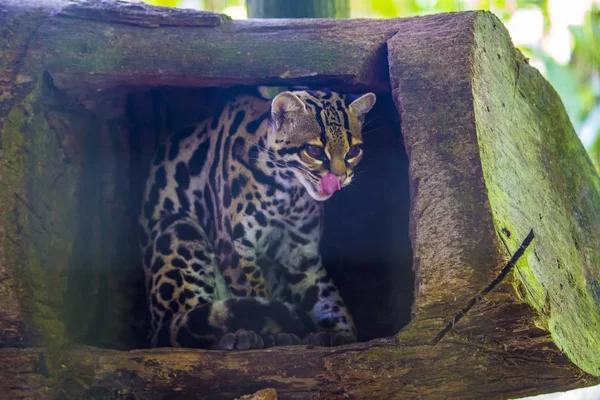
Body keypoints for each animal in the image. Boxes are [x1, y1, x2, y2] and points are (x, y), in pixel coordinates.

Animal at [139, 89, 378, 348]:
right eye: (314, 151)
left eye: (353, 151)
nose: (340, 178)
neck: (290, 193)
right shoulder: (235, 247)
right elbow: (255, 292)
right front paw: (272, 333)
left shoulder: (302, 253)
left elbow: (325, 296)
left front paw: (341, 335)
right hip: (177, 227)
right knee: (179, 329)